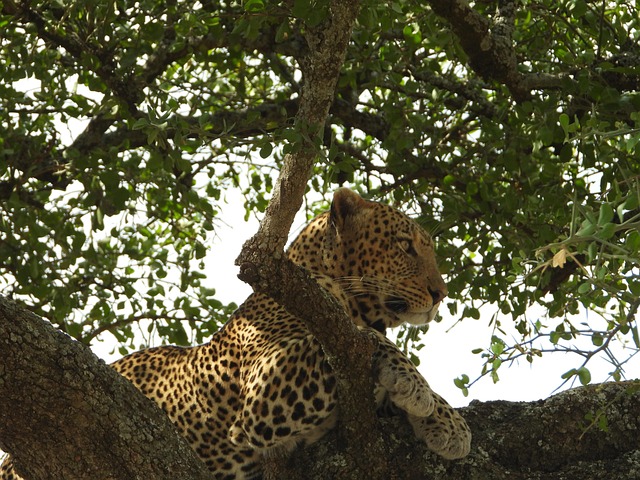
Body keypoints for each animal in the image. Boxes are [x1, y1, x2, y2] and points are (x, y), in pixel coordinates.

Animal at [0, 188, 471, 480]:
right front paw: (417, 387)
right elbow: (369, 340)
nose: (441, 293)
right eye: (405, 245)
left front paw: (446, 421)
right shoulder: (265, 393)